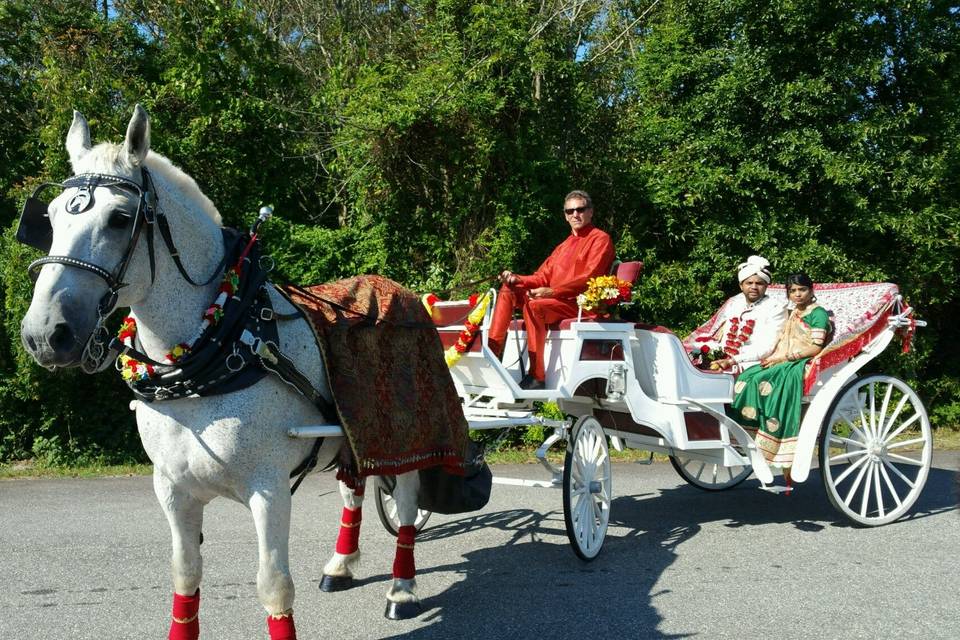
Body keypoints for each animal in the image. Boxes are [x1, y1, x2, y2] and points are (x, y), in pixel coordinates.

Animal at [17, 106, 424, 640]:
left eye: (120, 219)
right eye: (50, 218)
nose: (45, 333)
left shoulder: (269, 489)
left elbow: (274, 586)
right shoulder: (173, 490)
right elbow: (185, 573)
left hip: (403, 439)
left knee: (409, 505)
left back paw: (402, 588)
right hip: (352, 439)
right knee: (354, 490)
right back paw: (341, 565)